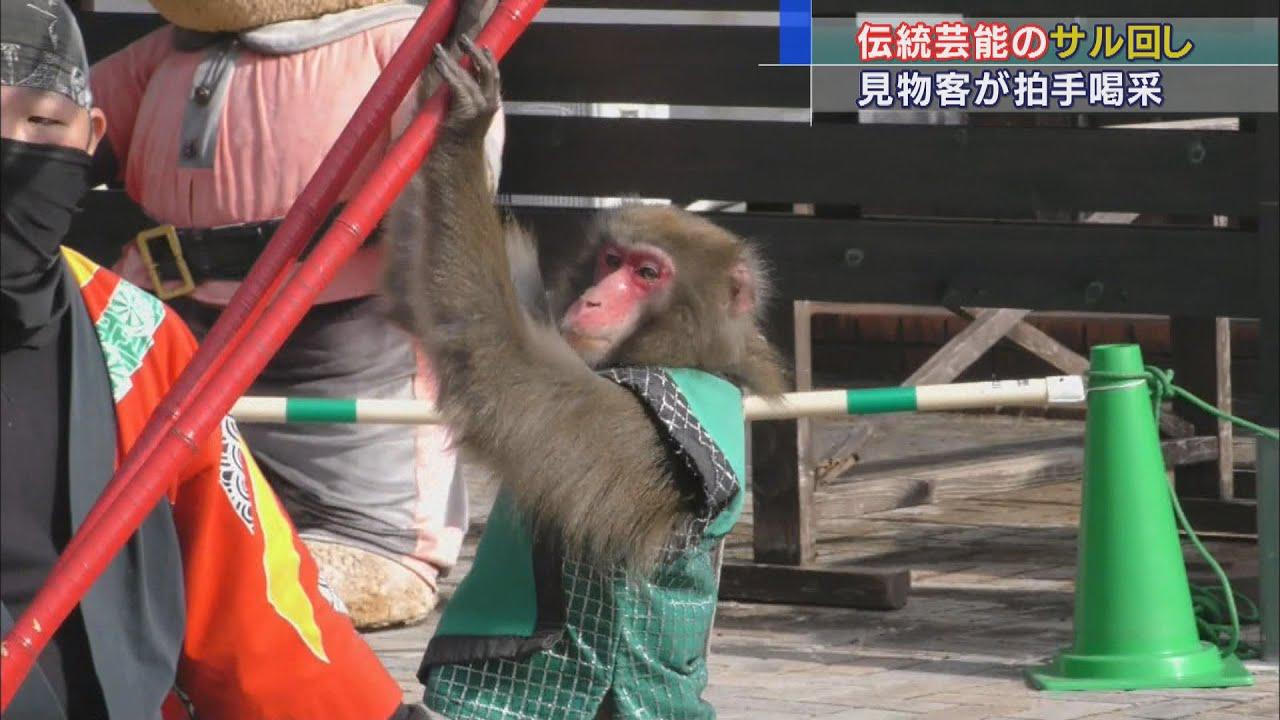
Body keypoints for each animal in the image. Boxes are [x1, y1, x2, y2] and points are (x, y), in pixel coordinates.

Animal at [385, 39, 788, 720]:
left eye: (647, 274)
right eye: (611, 260)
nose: (596, 299)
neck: (704, 356)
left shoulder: (653, 423)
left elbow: (501, 373)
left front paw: (465, 128)